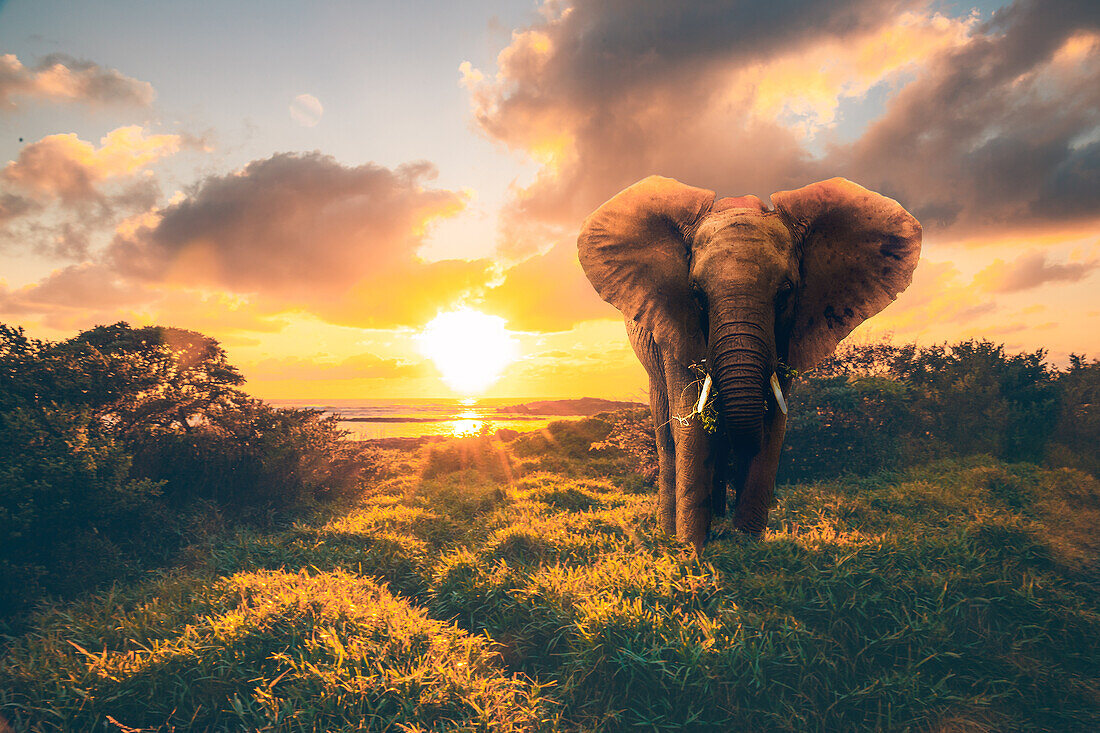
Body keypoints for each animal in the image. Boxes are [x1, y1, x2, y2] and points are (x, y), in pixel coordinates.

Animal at [576, 172, 919, 548]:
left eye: (785, 293)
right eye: (696, 294)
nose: (733, 536)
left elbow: (772, 421)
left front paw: (746, 546)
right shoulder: (675, 321)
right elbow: (693, 423)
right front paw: (692, 549)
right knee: (667, 438)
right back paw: (670, 531)